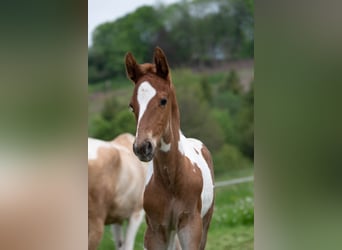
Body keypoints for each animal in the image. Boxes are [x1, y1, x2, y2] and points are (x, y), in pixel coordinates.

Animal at [125, 47, 214, 250]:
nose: (142, 147)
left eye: (163, 101)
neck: (171, 180)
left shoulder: (191, 227)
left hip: (205, 223)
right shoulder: (156, 231)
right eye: (132, 106)